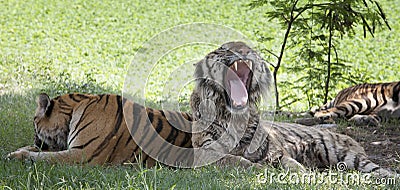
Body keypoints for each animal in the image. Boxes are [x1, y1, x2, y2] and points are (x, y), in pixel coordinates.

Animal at [6, 93, 194, 167]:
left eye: (34, 123)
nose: (35, 140)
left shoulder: (81, 154)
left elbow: (45, 157)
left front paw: (16, 156)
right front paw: (16, 151)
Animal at [191, 40, 396, 177]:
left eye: (250, 49)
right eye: (225, 48)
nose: (244, 51)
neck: (236, 117)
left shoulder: (275, 152)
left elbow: (291, 163)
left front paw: (303, 174)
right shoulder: (206, 152)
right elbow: (238, 161)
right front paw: (261, 169)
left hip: (347, 155)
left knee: (379, 170)